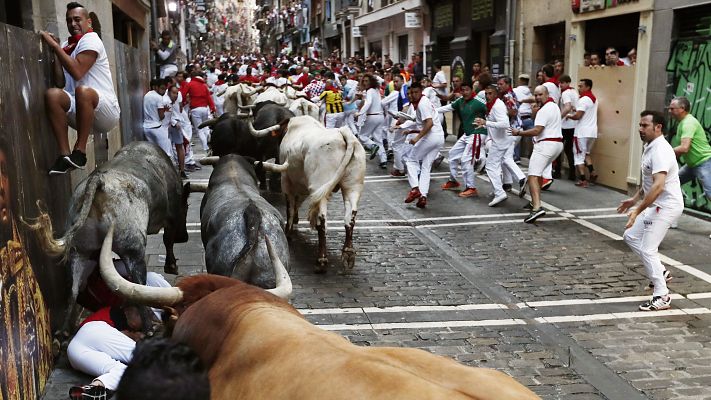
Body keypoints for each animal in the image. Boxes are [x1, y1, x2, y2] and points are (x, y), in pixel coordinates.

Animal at [21, 142, 189, 336]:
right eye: (186, 206)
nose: (184, 237)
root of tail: (99, 181)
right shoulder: (172, 217)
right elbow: (168, 240)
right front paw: (172, 266)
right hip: (133, 250)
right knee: (137, 287)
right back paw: (149, 328)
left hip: (78, 250)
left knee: (73, 289)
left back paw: (63, 331)